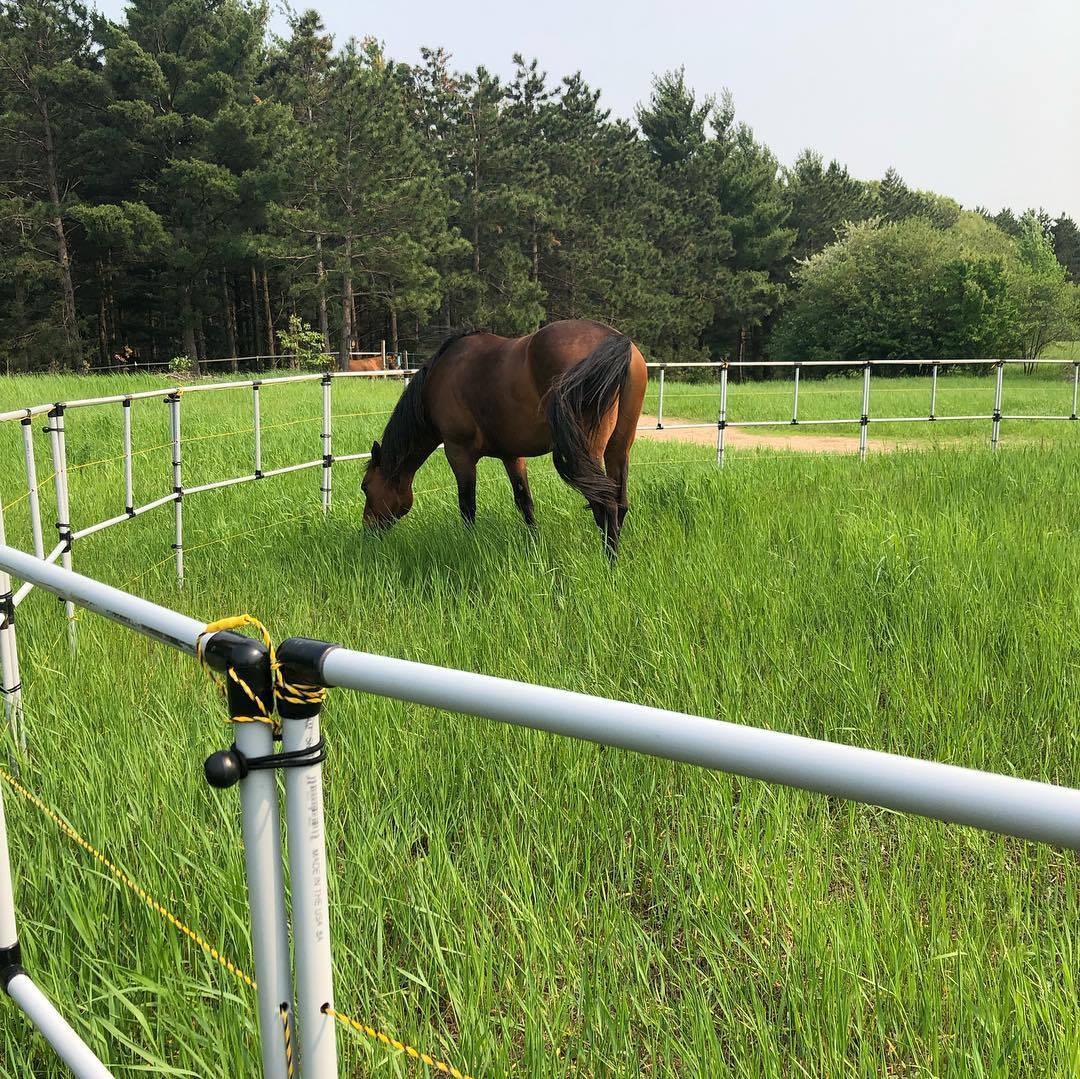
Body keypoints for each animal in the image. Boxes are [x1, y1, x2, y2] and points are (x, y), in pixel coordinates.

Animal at [361, 319, 649, 554]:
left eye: (365, 487)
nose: (367, 531)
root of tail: (615, 340)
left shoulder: (458, 453)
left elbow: (467, 506)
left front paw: (468, 547)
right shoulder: (512, 455)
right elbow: (525, 502)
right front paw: (534, 546)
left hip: (590, 453)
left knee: (605, 505)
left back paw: (609, 564)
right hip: (618, 449)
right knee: (620, 503)